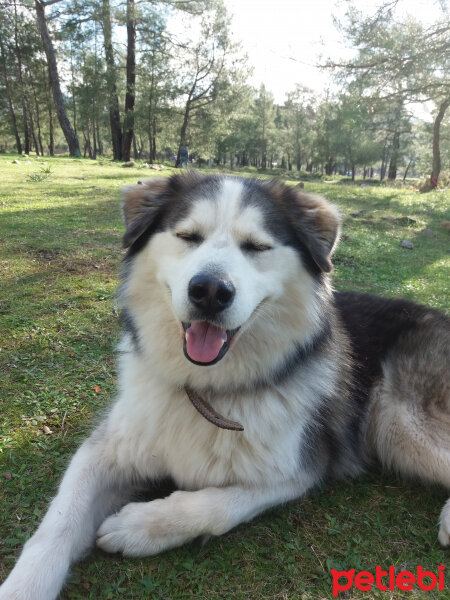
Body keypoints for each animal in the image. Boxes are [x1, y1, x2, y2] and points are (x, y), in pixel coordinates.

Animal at [0, 171, 450, 596]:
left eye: (257, 246)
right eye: (187, 236)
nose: (210, 291)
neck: (203, 389)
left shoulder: (296, 469)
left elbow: (216, 506)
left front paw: (140, 526)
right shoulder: (108, 448)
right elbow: (59, 521)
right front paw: (25, 585)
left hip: (398, 421)